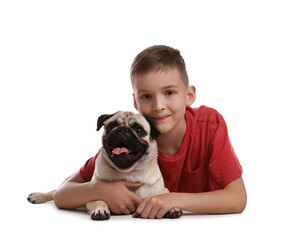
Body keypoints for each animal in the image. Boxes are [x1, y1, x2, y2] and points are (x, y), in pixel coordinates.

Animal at [28, 111, 184, 220]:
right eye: (111, 125)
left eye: (139, 130)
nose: (123, 130)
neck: (129, 174)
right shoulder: (92, 196)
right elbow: (100, 200)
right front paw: (100, 210)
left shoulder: (162, 191)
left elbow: (165, 198)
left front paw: (171, 208)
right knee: (55, 192)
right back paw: (37, 196)